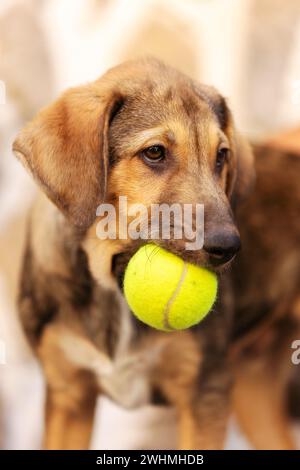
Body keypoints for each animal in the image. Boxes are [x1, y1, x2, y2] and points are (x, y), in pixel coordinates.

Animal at [12, 57, 253, 448]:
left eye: (222, 156)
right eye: (154, 152)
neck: (112, 280)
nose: (228, 247)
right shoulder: (68, 393)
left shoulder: (206, 391)